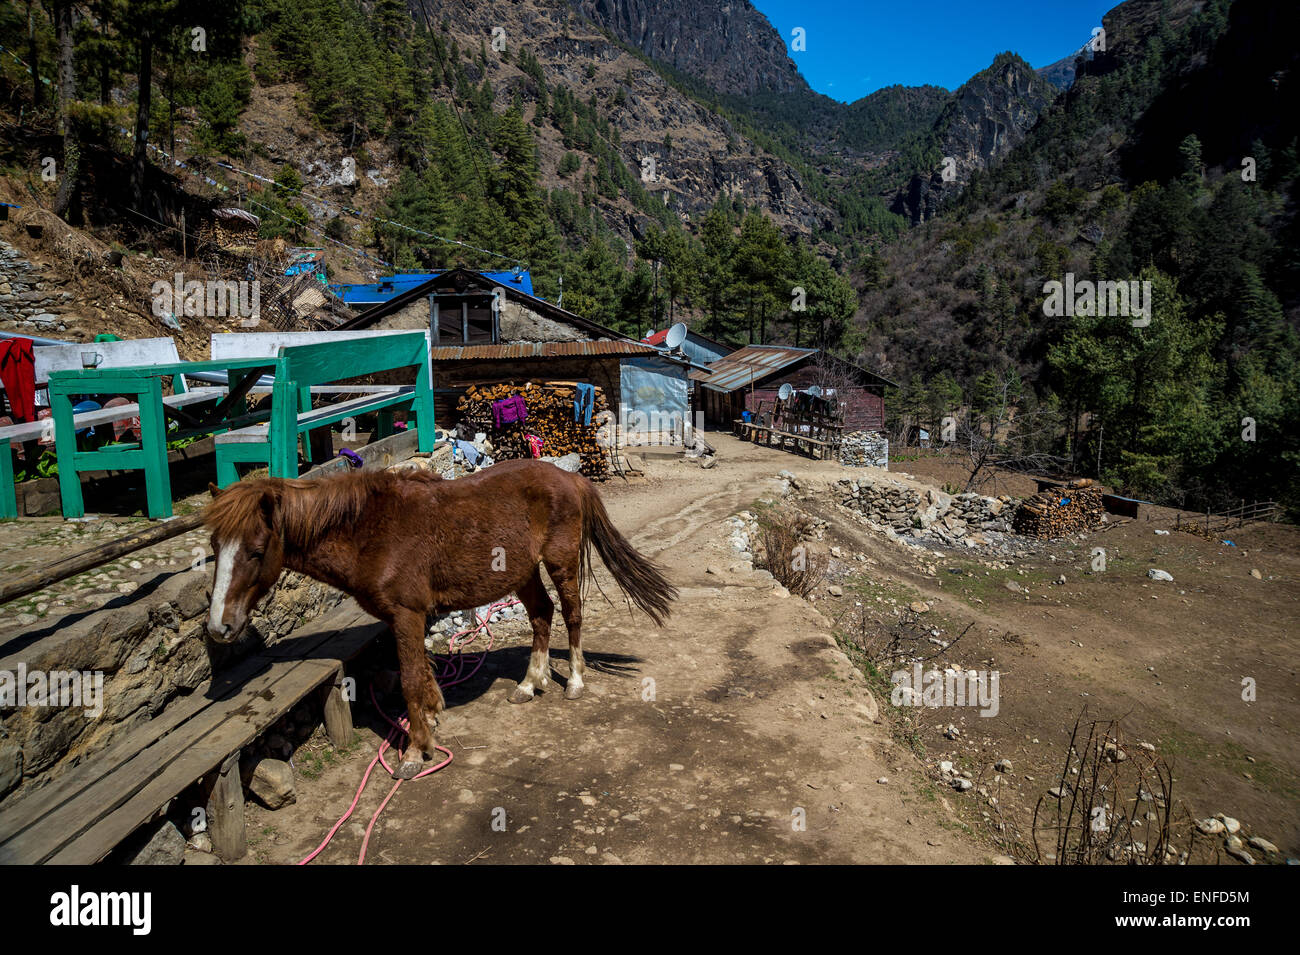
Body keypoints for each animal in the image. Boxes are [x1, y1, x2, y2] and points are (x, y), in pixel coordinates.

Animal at [202, 459, 681, 779]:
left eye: (255, 552)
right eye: (214, 547)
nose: (219, 627)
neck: (370, 531)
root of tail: (571, 477)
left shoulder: (407, 615)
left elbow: (412, 680)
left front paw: (415, 752)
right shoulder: (403, 619)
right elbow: (419, 677)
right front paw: (431, 720)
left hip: (560, 563)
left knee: (571, 614)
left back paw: (576, 681)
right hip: (522, 571)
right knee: (542, 616)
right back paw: (530, 684)